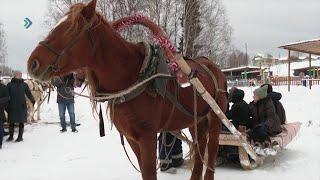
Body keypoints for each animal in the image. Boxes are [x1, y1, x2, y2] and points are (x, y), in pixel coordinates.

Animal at [27, 0, 228, 179]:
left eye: (71, 28)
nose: (32, 63)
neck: (133, 78)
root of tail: (213, 67)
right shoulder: (132, 139)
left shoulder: (147, 136)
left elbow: (149, 173)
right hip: (195, 121)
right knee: (199, 148)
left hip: (215, 118)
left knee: (211, 151)